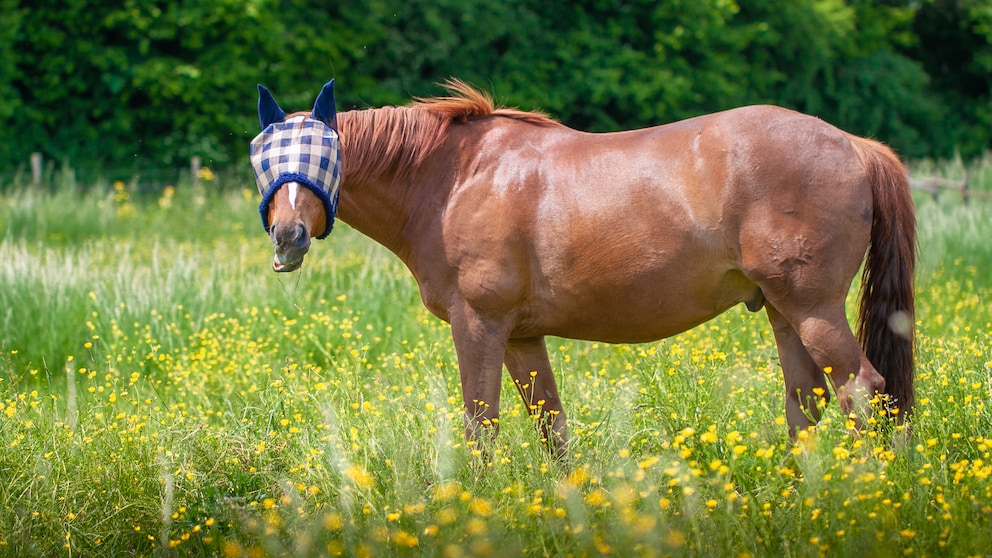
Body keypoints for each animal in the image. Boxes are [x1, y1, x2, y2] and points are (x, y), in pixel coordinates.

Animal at [249, 79, 916, 457]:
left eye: (320, 155)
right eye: (261, 156)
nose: (288, 236)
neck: (454, 179)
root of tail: (853, 144)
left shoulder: (479, 324)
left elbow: (481, 426)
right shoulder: (520, 337)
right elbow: (551, 430)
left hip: (812, 308)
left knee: (864, 391)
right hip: (782, 310)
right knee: (807, 404)